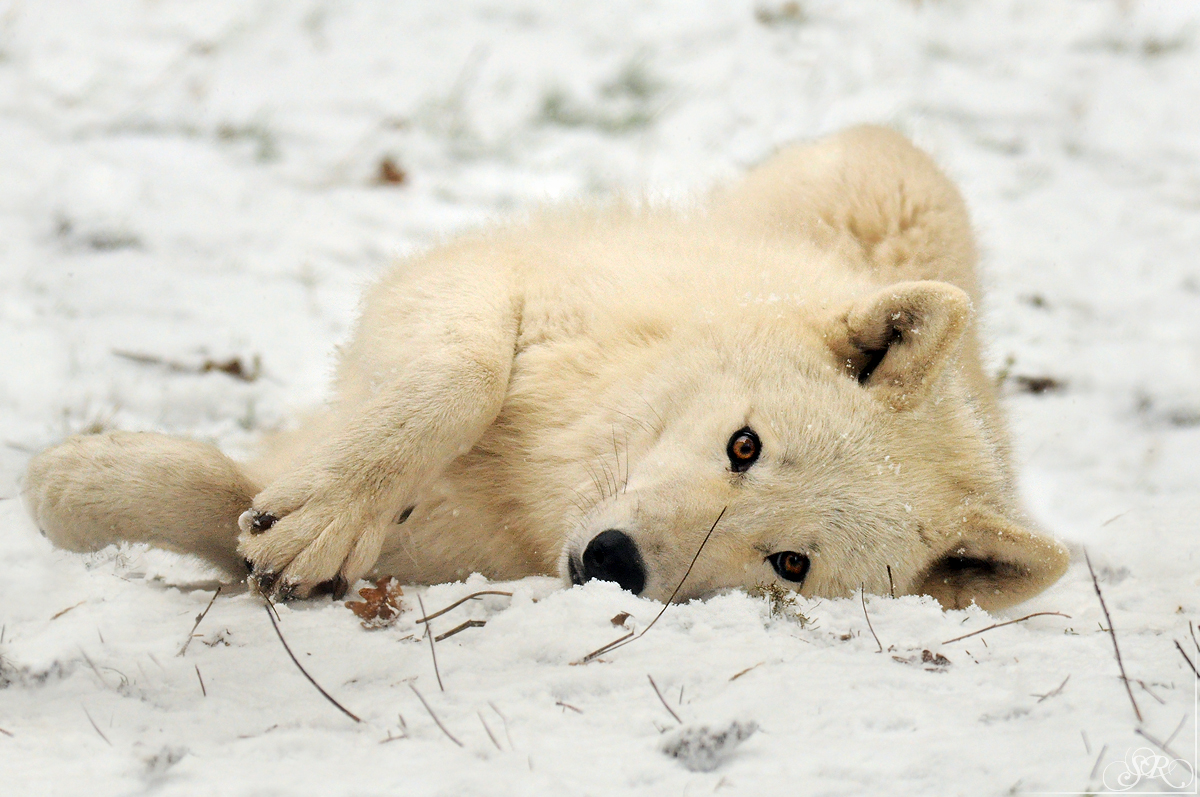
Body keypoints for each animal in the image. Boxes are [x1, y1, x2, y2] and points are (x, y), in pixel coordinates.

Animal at [22, 125, 1070, 612]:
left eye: (790, 563)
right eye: (745, 445)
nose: (614, 562)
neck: (537, 491)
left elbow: (234, 515)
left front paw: (78, 487)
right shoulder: (488, 282)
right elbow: (457, 377)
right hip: (890, 171)